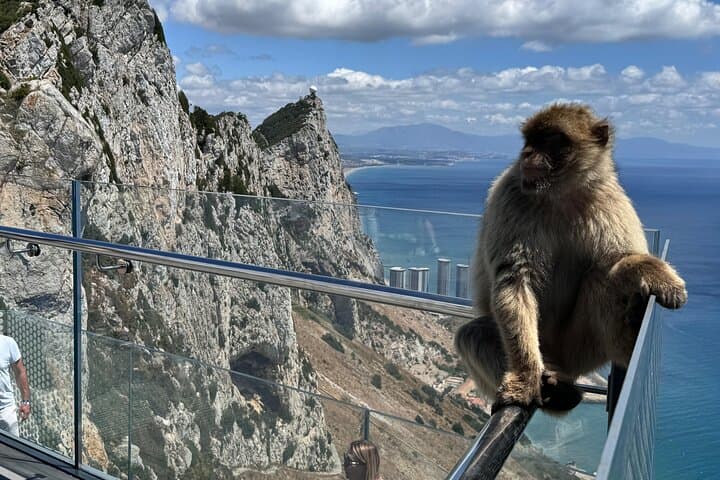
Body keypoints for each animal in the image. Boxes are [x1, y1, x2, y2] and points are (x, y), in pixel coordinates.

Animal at [455, 103, 687, 413]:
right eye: (529, 140)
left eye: (551, 140)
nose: (527, 153)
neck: (559, 194)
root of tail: (563, 365)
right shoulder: (512, 194)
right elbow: (515, 279)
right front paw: (525, 379)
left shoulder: (607, 197)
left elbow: (619, 260)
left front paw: (657, 275)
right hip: (547, 349)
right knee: (472, 335)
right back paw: (558, 394)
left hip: (580, 349)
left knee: (602, 278)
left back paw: (626, 343)